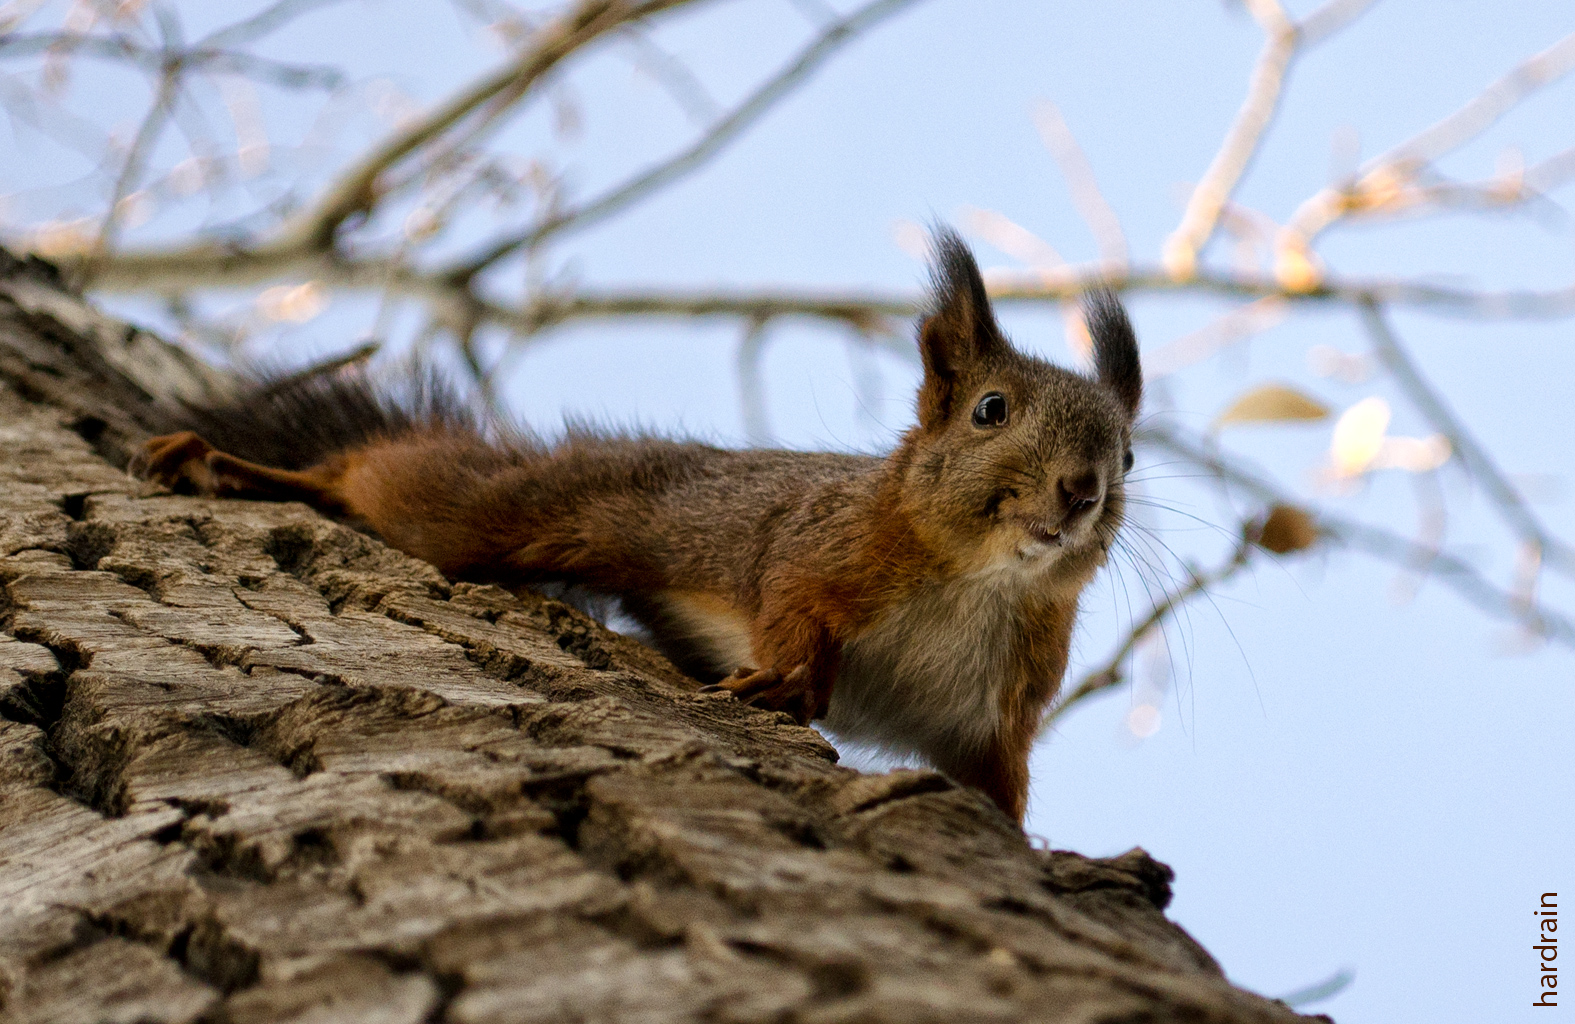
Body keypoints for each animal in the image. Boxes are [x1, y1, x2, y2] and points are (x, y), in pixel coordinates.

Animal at [130, 228, 1141, 823]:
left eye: (1129, 455)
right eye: (989, 411)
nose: (1080, 490)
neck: (983, 582)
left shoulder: (1001, 711)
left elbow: (1001, 787)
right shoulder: (821, 547)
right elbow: (787, 606)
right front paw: (788, 681)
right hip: (486, 516)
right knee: (368, 477)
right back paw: (227, 463)